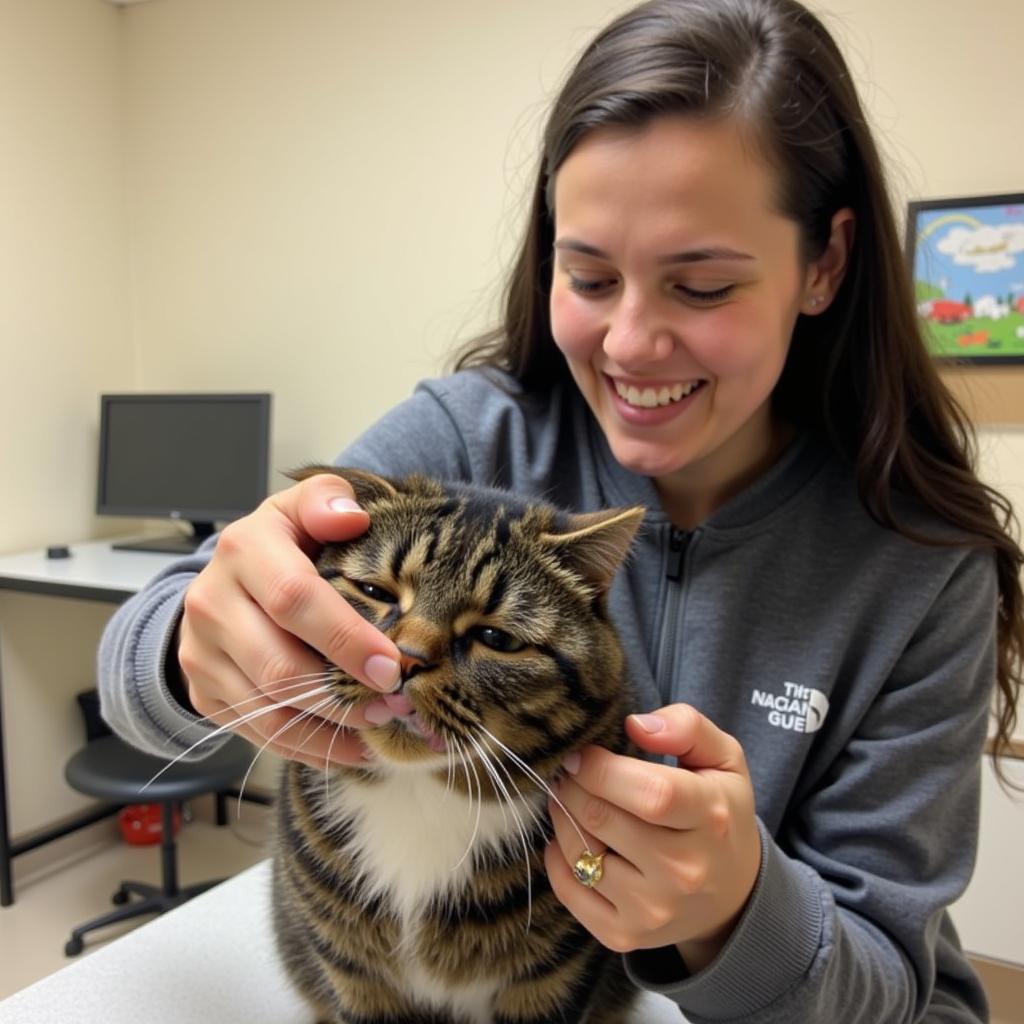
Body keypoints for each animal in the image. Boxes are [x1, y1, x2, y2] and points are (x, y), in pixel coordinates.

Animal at [268, 468, 643, 1024]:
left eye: (497, 639)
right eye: (376, 591)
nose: (405, 659)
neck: (418, 796)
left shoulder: (555, 981)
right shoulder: (355, 976)